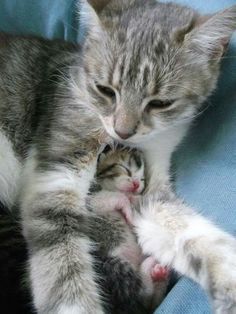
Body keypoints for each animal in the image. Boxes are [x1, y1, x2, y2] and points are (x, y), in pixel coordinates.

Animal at [0, 1, 235, 312]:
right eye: (105, 90)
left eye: (160, 103)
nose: (123, 132)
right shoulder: (56, 173)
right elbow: (62, 261)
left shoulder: (152, 184)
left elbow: (184, 228)